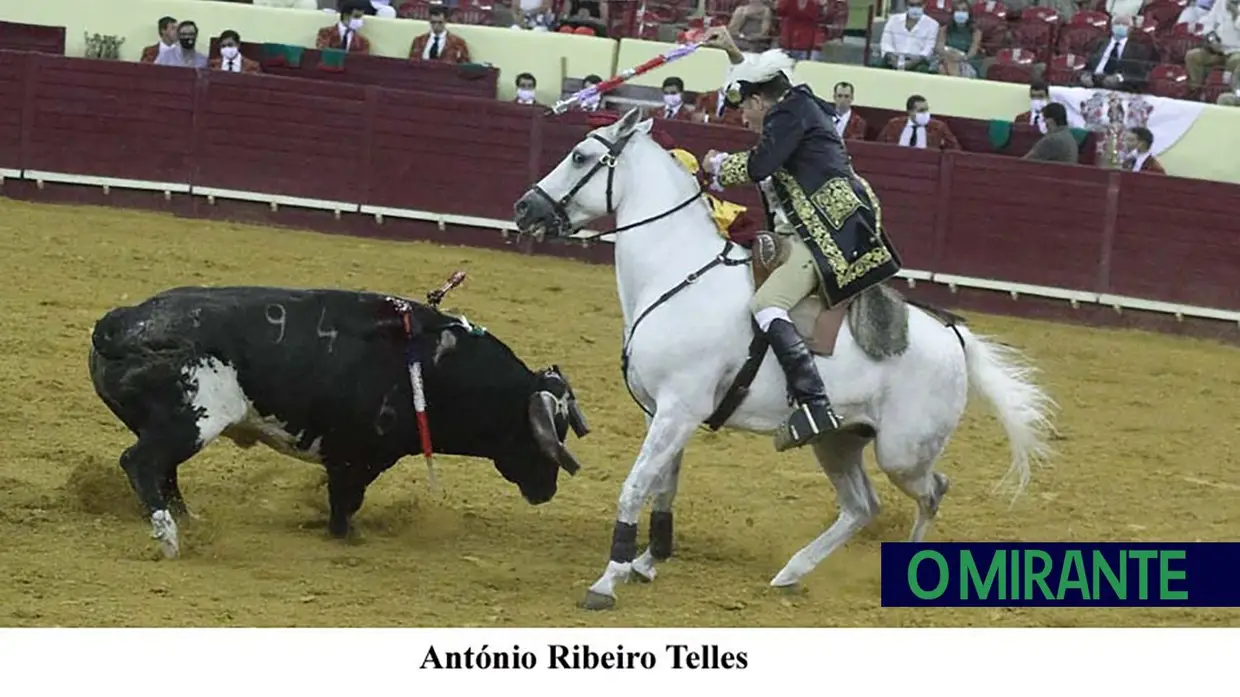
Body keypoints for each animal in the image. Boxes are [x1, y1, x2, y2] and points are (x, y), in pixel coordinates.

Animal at [89, 285, 587, 555]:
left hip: (174, 426)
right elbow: (345, 504)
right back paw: (170, 537)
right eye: (544, 433)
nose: (547, 490)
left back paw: (188, 520)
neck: (433, 365)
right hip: (191, 421)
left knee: (164, 470)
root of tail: (119, 323)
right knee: (142, 463)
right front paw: (348, 537)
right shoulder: (359, 458)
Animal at [513, 107, 1056, 607]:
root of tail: (953, 334)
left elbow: (634, 485)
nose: (523, 207)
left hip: (901, 452)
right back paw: (792, 572)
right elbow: (662, 486)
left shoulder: (678, 410)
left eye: (580, 156)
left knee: (933, 490)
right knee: (862, 506)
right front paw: (646, 562)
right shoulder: (664, 414)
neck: (678, 273)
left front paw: (608, 579)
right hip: (839, 441)